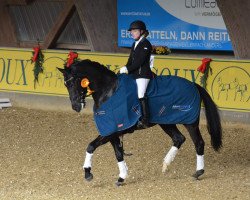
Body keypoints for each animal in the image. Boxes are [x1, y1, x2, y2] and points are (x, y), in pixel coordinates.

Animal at [58, 59, 223, 186]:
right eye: (65, 84)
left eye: (73, 82)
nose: (76, 107)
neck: (109, 92)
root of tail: (194, 85)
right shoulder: (112, 131)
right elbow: (112, 152)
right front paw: (117, 176)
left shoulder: (112, 131)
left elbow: (95, 147)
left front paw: (94, 173)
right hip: (166, 121)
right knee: (179, 138)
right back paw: (166, 164)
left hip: (190, 122)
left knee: (198, 143)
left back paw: (198, 172)